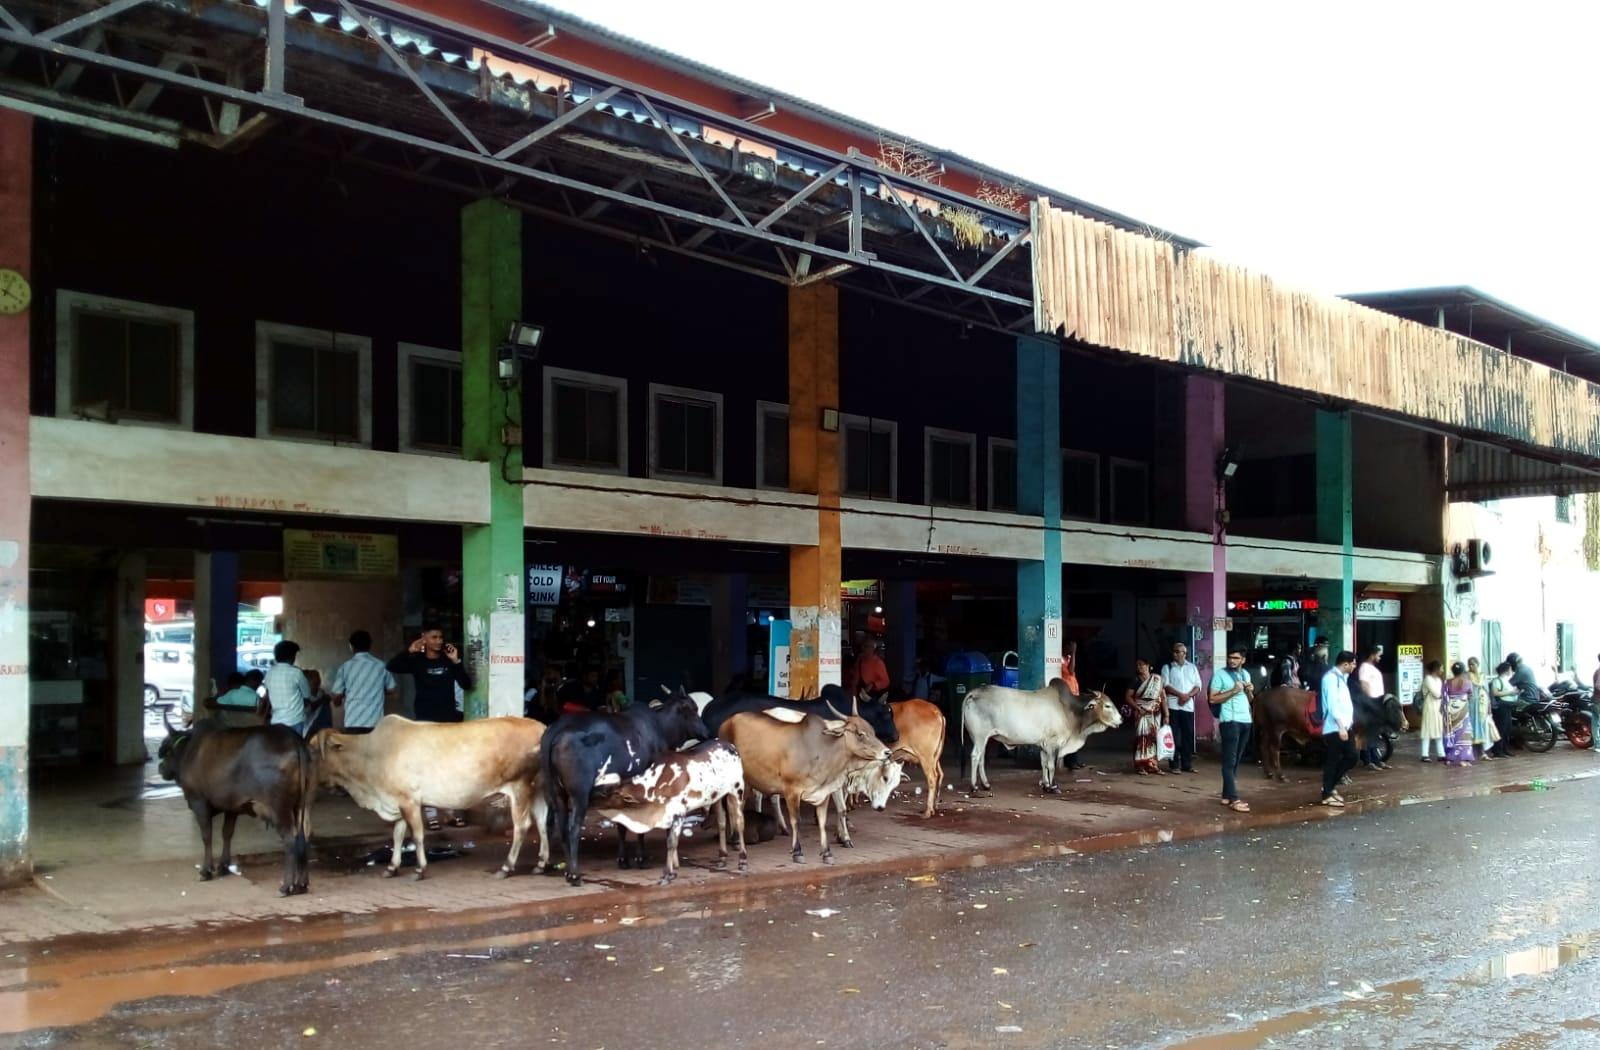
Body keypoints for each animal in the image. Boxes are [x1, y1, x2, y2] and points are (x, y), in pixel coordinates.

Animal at [156, 717, 315, 896]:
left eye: (166, 751)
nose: (160, 768)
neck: (188, 751)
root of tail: (294, 739)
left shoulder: (199, 802)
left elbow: (207, 836)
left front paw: (206, 870)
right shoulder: (232, 806)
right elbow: (227, 833)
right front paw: (223, 866)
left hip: (279, 807)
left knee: (290, 840)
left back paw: (286, 886)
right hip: (302, 805)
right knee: (303, 837)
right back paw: (301, 884)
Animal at [312, 713, 550, 877]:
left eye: (314, 751)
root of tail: (541, 726)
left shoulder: (410, 801)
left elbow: (417, 835)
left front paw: (419, 869)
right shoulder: (397, 801)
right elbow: (398, 834)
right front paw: (392, 867)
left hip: (520, 787)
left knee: (522, 826)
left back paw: (507, 867)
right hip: (537, 789)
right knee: (542, 821)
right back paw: (541, 863)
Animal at [540, 688, 710, 883]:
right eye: (693, 710)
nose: (706, 732)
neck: (659, 728)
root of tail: (555, 732)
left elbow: (620, 824)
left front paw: (623, 859)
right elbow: (641, 823)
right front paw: (641, 858)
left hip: (556, 793)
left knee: (560, 828)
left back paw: (568, 871)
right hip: (579, 794)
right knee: (573, 828)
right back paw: (575, 874)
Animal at [960, 685, 1126, 790]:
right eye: (1107, 706)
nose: (1121, 719)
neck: (1070, 711)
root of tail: (974, 692)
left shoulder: (1043, 744)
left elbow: (1043, 764)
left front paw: (1045, 784)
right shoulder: (1054, 743)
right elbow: (1051, 765)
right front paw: (1053, 787)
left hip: (980, 738)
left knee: (981, 758)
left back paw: (986, 784)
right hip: (980, 736)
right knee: (975, 756)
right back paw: (974, 786)